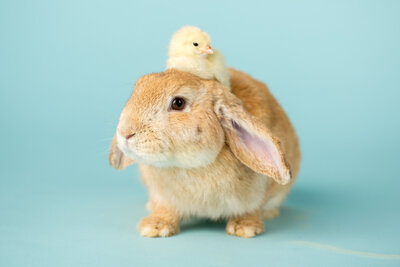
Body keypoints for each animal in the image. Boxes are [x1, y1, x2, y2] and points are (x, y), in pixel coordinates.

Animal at [109, 67, 300, 239]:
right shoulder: (164, 197)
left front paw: (245, 228)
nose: (125, 133)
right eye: (138, 87)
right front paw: (153, 227)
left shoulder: (255, 196)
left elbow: (251, 209)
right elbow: (166, 210)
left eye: (178, 103)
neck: (190, 165)